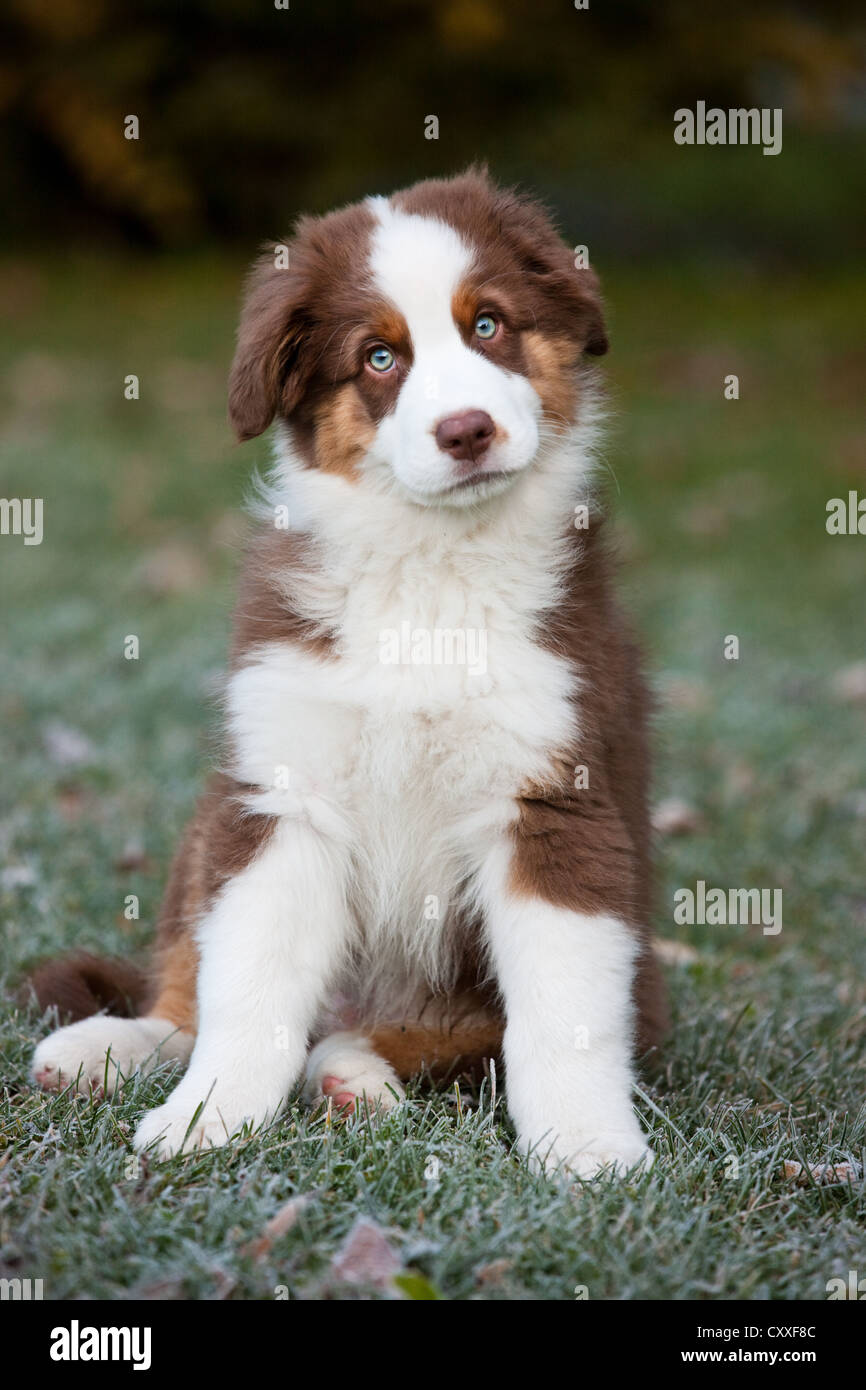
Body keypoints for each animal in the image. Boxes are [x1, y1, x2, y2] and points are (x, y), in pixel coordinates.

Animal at [30, 168, 667, 1178]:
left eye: (490, 325)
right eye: (377, 357)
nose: (466, 431)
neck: (429, 570)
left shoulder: (556, 804)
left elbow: (563, 1016)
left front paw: (589, 1149)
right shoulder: (283, 796)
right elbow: (246, 985)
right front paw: (209, 1117)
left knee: (426, 1040)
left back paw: (352, 1077)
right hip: (211, 821)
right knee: (190, 985)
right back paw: (108, 1047)